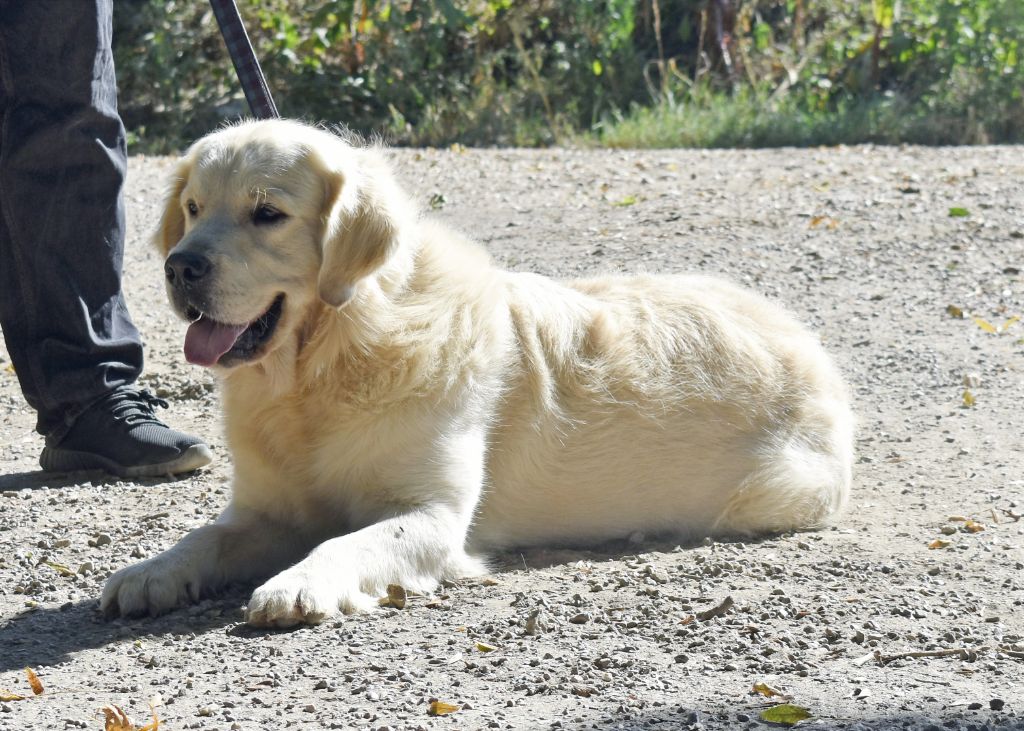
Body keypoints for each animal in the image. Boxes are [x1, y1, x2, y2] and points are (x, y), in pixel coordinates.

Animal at [101, 119, 856, 626]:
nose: (180, 267)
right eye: (193, 209)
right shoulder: (266, 511)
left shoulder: (433, 516)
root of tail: (805, 338)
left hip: (776, 490)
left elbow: (352, 540)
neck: (327, 363)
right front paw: (148, 573)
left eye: (267, 214)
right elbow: (203, 536)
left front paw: (301, 583)